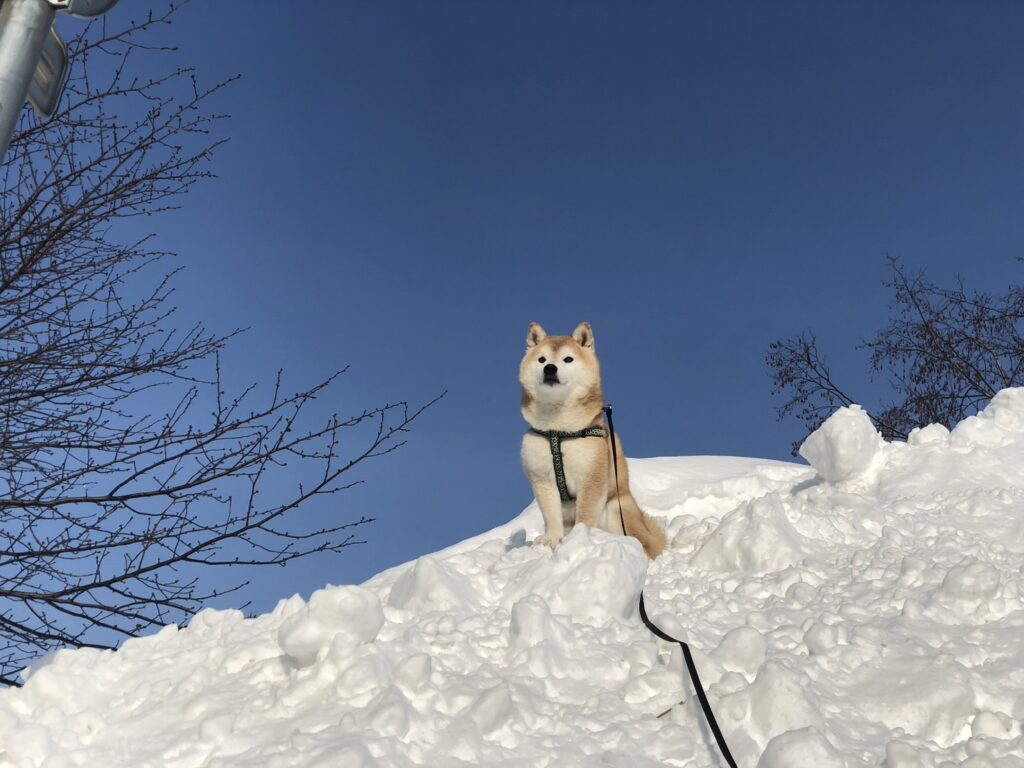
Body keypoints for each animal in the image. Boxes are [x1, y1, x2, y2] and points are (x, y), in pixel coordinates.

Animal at [516, 323, 667, 561]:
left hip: (616, 508)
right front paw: (551, 541)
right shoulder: (542, 480)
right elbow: (551, 516)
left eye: (568, 359)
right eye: (541, 359)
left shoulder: (592, 478)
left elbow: (586, 515)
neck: (559, 431)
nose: (549, 368)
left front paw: (579, 540)